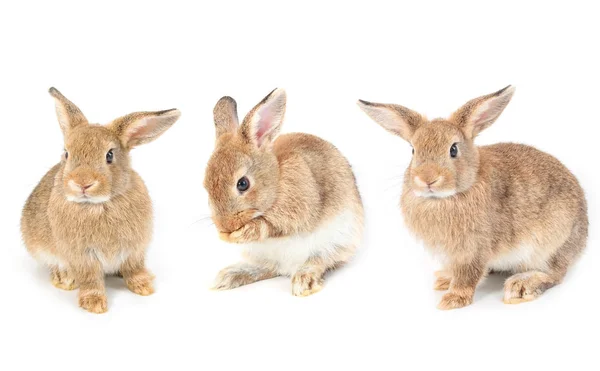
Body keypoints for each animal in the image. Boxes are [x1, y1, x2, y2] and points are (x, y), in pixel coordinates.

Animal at [21, 87, 180, 314]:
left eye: (109, 155)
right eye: (66, 154)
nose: (82, 183)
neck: (99, 205)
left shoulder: (135, 250)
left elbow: (134, 268)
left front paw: (144, 286)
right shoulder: (83, 256)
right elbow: (90, 279)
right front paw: (94, 304)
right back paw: (65, 279)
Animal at [204, 88, 364, 298]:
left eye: (243, 184)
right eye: (205, 186)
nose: (225, 227)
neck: (276, 181)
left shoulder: (297, 209)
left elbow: (270, 225)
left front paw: (243, 232)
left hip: (335, 241)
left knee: (318, 261)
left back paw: (304, 282)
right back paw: (229, 277)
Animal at [358, 85, 588, 310]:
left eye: (453, 149)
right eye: (413, 151)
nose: (427, 179)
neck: (445, 198)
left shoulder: (473, 248)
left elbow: (467, 275)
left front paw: (453, 300)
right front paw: (445, 279)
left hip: (549, 246)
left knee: (555, 274)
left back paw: (520, 286)